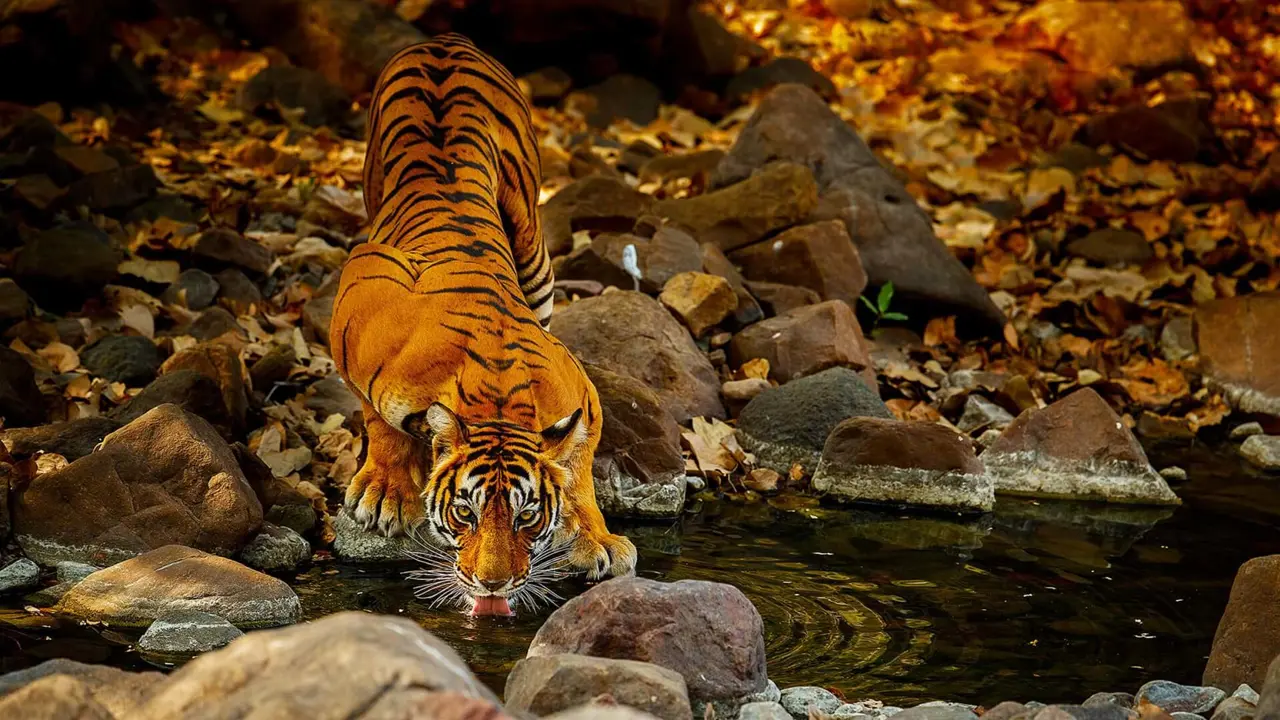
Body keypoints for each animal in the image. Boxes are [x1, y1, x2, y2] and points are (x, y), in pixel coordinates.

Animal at [329, 33, 637, 616]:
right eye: (464, 513)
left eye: (527, 516)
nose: (492, 585)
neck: (495, 399)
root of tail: (444, 40)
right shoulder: (362, 294)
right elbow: (377, 416)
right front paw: (386, 491)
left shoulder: (582, 394)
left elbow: (577, 464)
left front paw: (596, 537)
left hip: (536, 253)